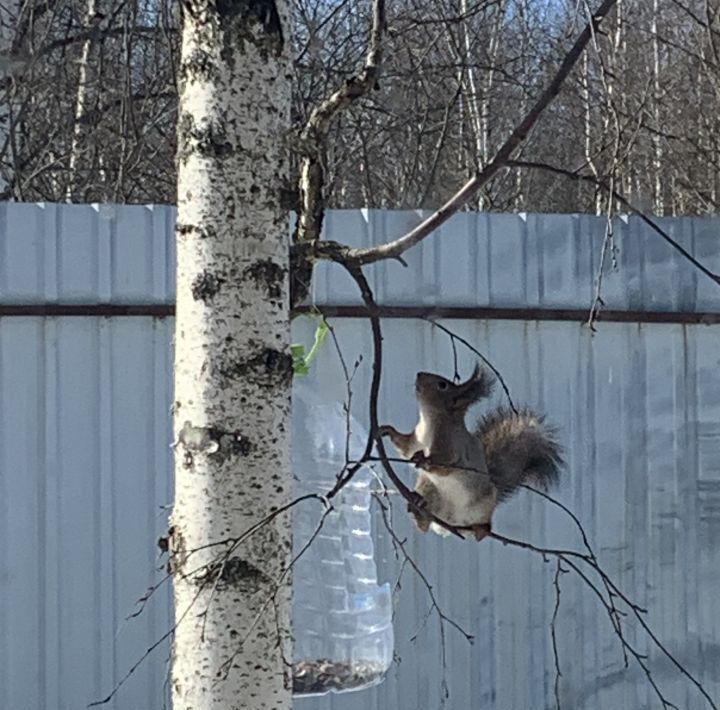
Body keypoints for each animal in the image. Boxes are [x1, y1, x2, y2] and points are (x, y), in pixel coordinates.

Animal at [376, 364, 564, 544]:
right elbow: (406, 450)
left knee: (481, 524)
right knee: (424, 526)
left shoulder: (451, 445)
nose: (419, 374)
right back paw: (418, 508)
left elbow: (446, 464)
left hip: (483, 504)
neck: (428, 421)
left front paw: (424, 460)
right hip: (429, 489)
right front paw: (387, 430)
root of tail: (452, 523)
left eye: (442, 385)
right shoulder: (416, 440)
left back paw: (482, 529)